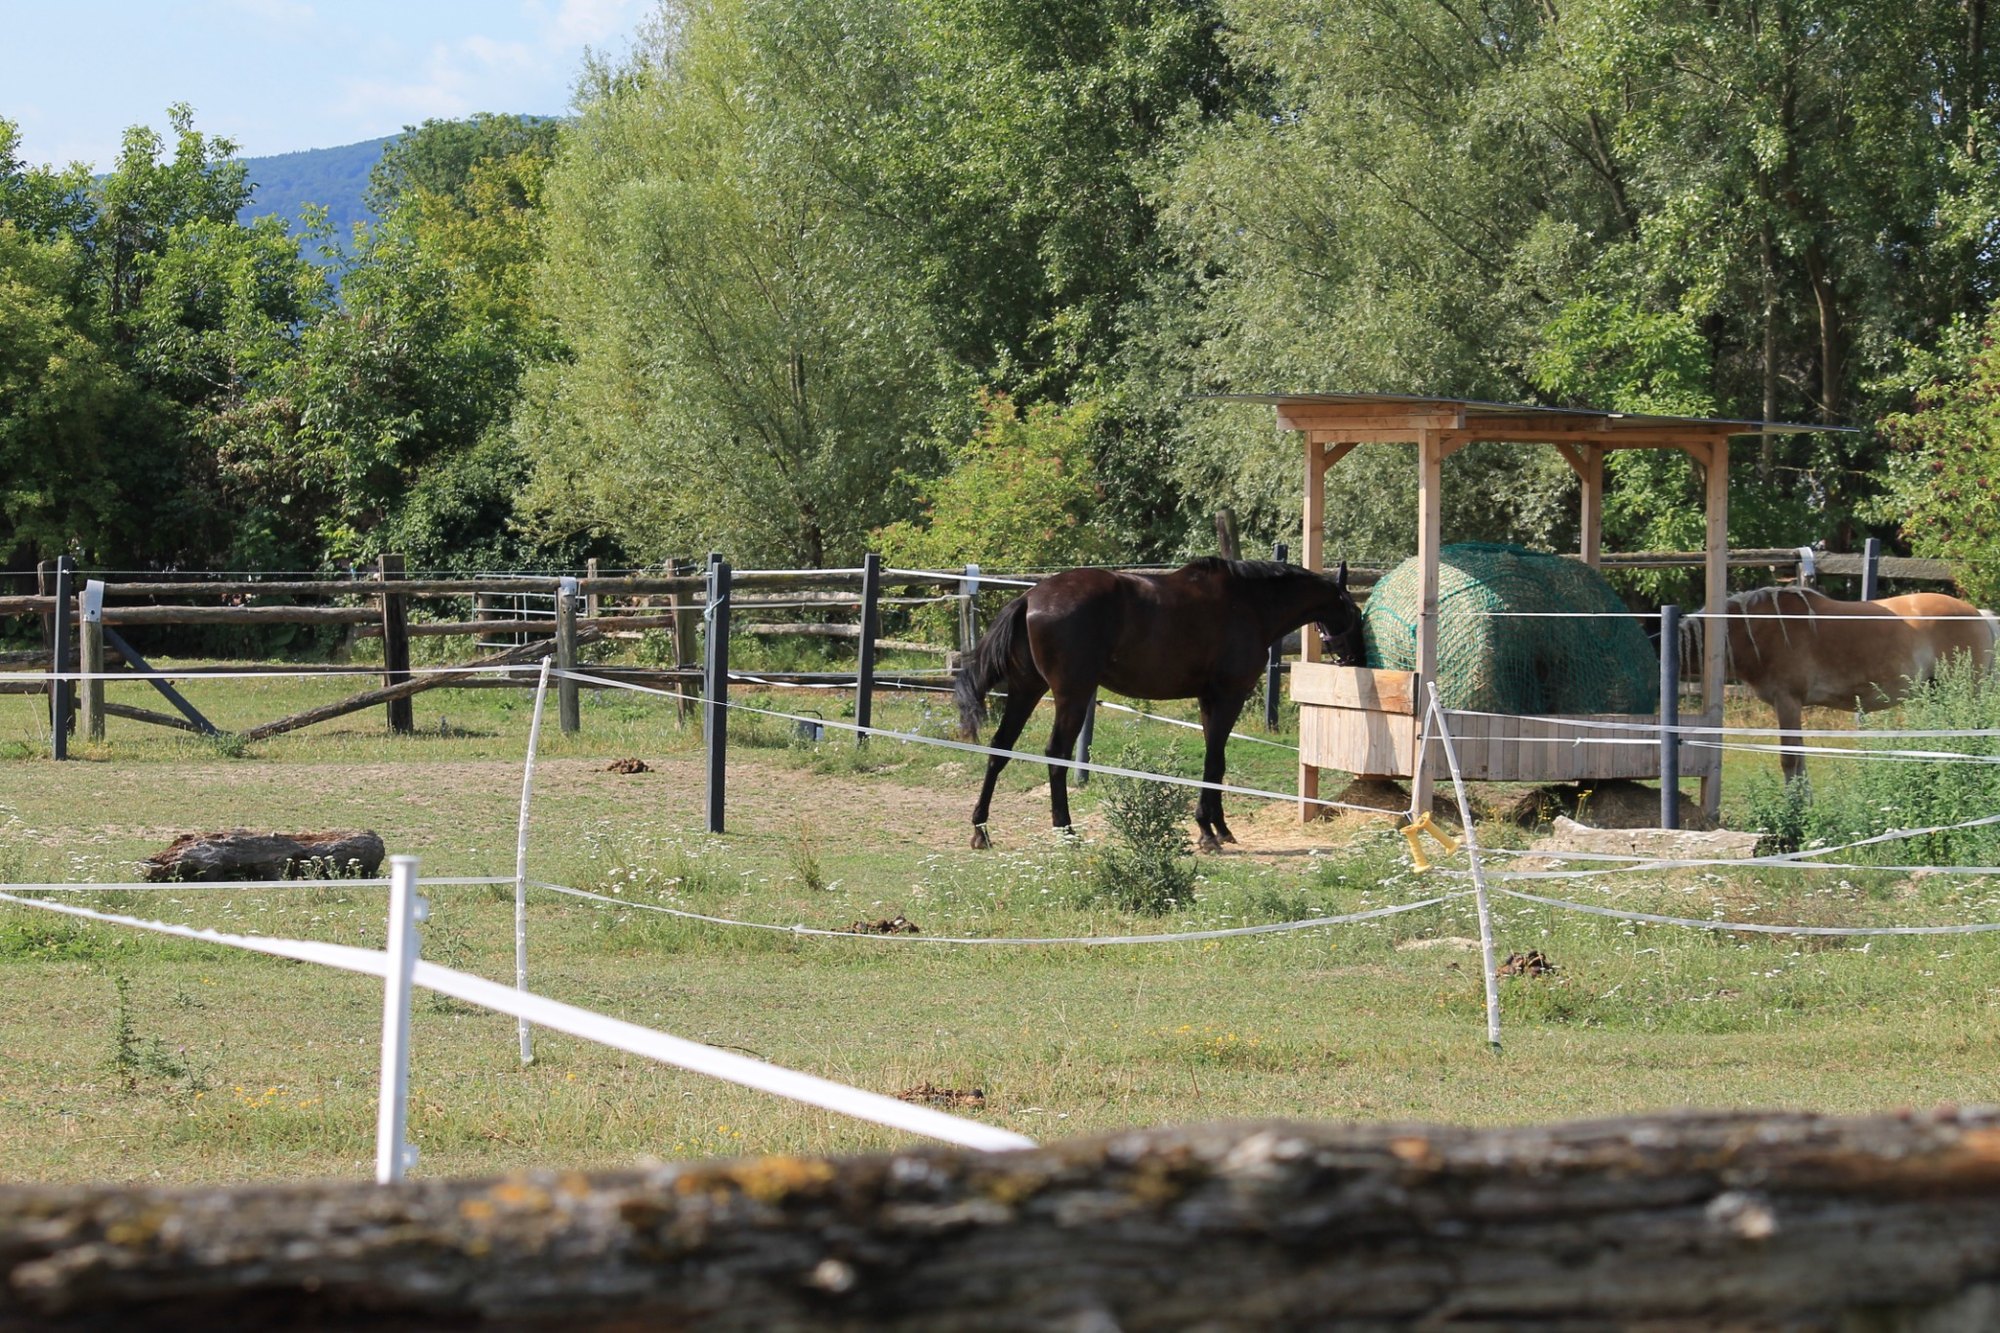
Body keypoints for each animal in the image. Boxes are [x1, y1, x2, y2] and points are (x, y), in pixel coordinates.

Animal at [954, 557, 1365, 851]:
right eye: (1356, 613)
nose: (1356, 657)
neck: (1248, 604)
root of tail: (1030, 597)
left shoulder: (1208, 700)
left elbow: (1215, 763)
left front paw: (1217, 827)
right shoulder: (1228, 696)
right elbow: (1214, 762)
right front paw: (1209, 832)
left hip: (1027, 690)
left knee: (999, 750)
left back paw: (981, 830)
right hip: (1072, 694)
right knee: (1056, 755)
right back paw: (1065, 830)